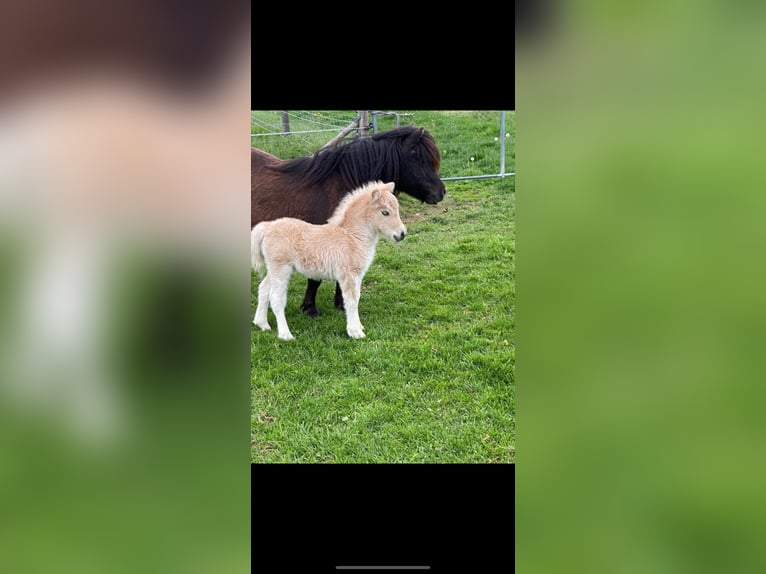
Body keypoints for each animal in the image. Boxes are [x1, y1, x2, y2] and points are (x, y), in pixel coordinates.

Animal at [251, 181, 406, 341]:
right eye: (385, 212)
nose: (402, 234)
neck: (352, 237)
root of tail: (267, 227)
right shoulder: (349, 274)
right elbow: (351, 300)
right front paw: (355, 332)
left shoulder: (358, 275)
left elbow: (357, 297)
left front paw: (359, 327)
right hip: (281, 268)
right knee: (276, 298)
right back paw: (285, 334)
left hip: (275, 268)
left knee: (263, 289)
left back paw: (262, 324)